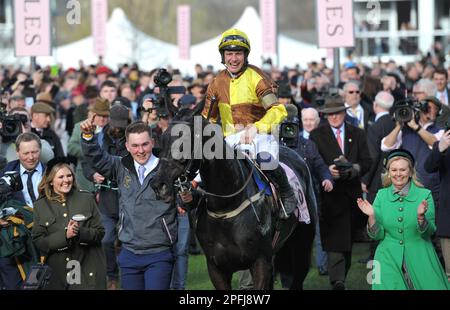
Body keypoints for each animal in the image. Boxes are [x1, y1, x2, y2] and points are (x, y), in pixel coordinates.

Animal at [149, 107, 314, 290]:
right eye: (162, 139)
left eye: (183, 140)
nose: (158, 185)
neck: (226, 207)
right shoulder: (216, 268)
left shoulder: (260, 262)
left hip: (303, 241)